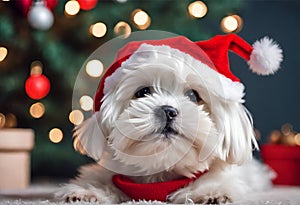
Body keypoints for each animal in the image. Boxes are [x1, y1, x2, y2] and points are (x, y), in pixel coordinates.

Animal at [55, 33, 282, 203]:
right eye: (143, 92)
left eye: (193, 96)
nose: (168, 110)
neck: (161, 174)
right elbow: (102, 180)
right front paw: (87, 191)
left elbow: (213, 179)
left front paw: (210, 192)